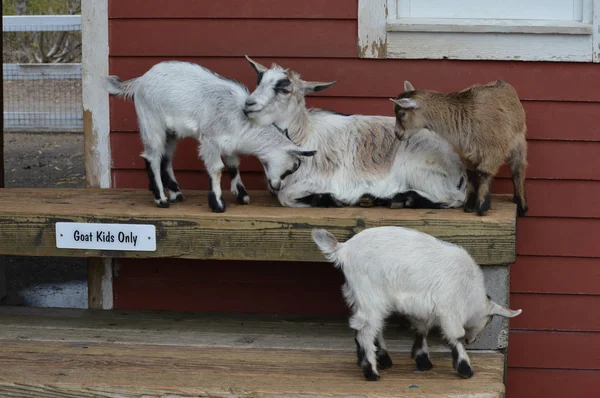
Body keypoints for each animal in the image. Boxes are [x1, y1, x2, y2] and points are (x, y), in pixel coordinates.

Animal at [105, 61, 316, 211]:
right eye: (293, 166)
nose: (278, 186)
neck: (239, 116)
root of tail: (140, 81)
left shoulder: (230, 143)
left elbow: (233, 165)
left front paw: (241, 195)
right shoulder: (210, 140)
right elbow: (216, 169)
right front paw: (217, 204)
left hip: (171, 131)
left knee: (166, 157)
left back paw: (175, 193)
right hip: (151, 121)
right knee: (153, 156)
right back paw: (161, 199)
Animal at [241, 58, 466, 211]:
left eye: (284, 89)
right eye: (259, 82)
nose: (248, 104)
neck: (304, 136)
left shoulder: (322, 179)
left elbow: (285, 196)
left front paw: (328, 199)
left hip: (418, 170)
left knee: (453, 197)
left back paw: (403, 199)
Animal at [312, 225, 524, 380]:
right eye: (489, 320)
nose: (471, 341)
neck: (469, 290)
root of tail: (343, 249)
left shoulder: (423, 309)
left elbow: (421, 329)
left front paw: (423, 360)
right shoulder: (449, 309)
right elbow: (455, 336)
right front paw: (465, 368)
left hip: (360, 296)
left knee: (366, 327)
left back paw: (381, 360)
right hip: (370, 294)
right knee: (366, 330)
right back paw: (371, 371)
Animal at [392, 80, 528, 216]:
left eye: (402, 114)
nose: (397, 134)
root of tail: (504, 84)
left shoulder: (492, 151)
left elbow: (485, 174)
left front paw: (481, 207)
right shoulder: (468, 154)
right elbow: (471, 176)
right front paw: (468, 205)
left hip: (519, 143)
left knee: (518, 169)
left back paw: (521, 204)